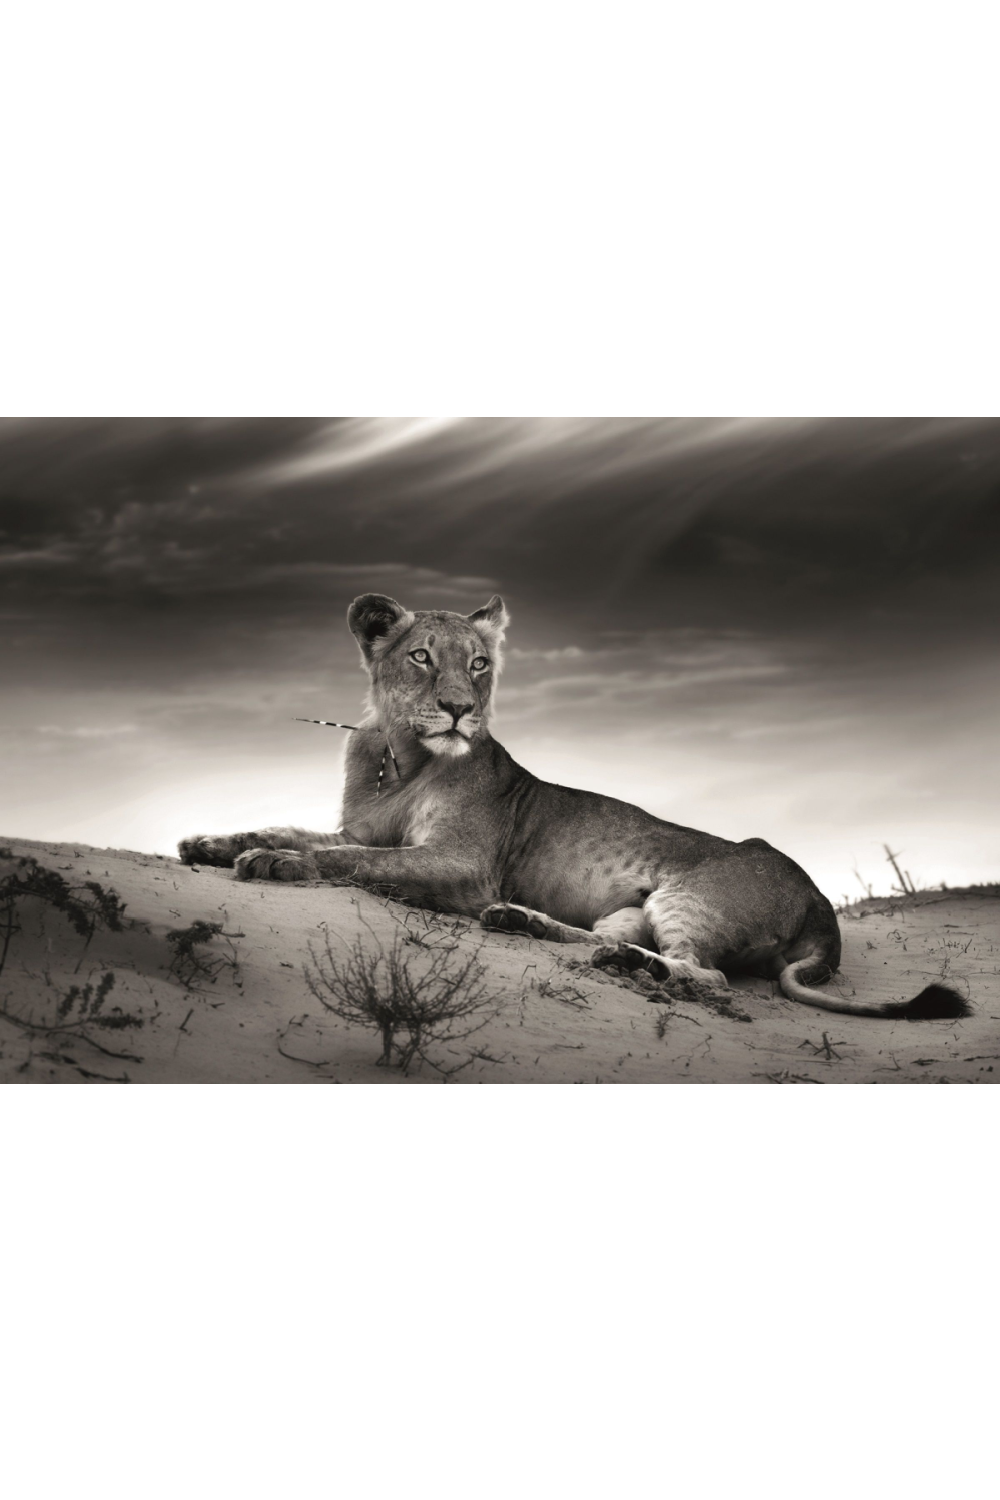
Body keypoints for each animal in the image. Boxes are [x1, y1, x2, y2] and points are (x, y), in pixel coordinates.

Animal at [179, 593, 969, 1020]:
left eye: (479, 664)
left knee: (705, 974)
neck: (398, 756)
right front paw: (211, 844)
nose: (461, 710)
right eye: (421, 657)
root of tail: (823, 907)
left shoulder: (463, 865)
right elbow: (302, 830)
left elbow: (351, 860)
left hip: (689, 895)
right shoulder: (368, 826)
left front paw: (276, 863)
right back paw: (529, 925)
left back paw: (626, 966)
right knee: (602, 938)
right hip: (632, 906)